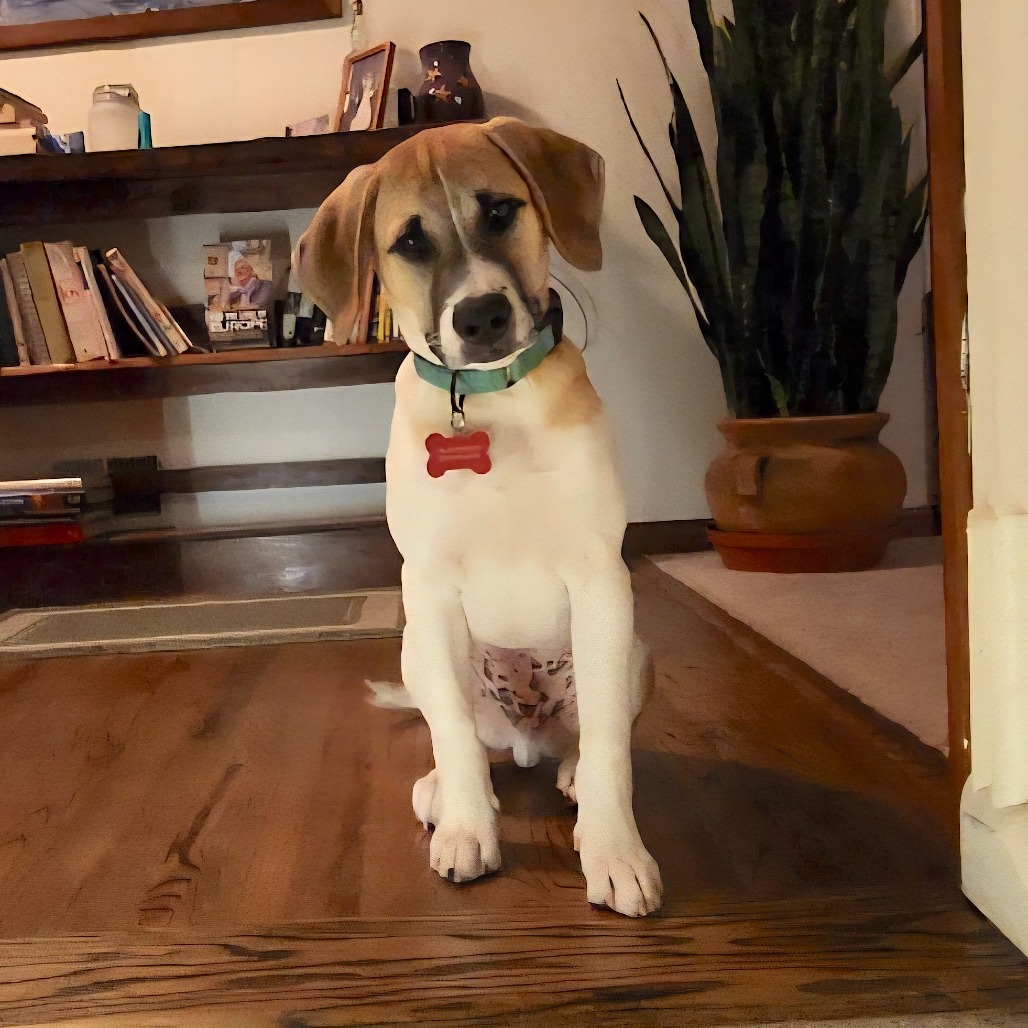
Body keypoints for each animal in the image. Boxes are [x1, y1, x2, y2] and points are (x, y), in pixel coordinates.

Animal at [295, 117, 662, 917]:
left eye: (499, 211)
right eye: (409, 242)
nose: (481, 316)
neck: (492, 402)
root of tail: (525, 733)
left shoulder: (599, 575)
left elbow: (611, 744)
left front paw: (616, 852)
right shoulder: (429, 586)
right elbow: (455, 734)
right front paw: (468, 829)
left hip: (631, 649)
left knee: (587, 734)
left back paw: (570, 775)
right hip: (417, 646)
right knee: (454, 728)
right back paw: (446, 792)